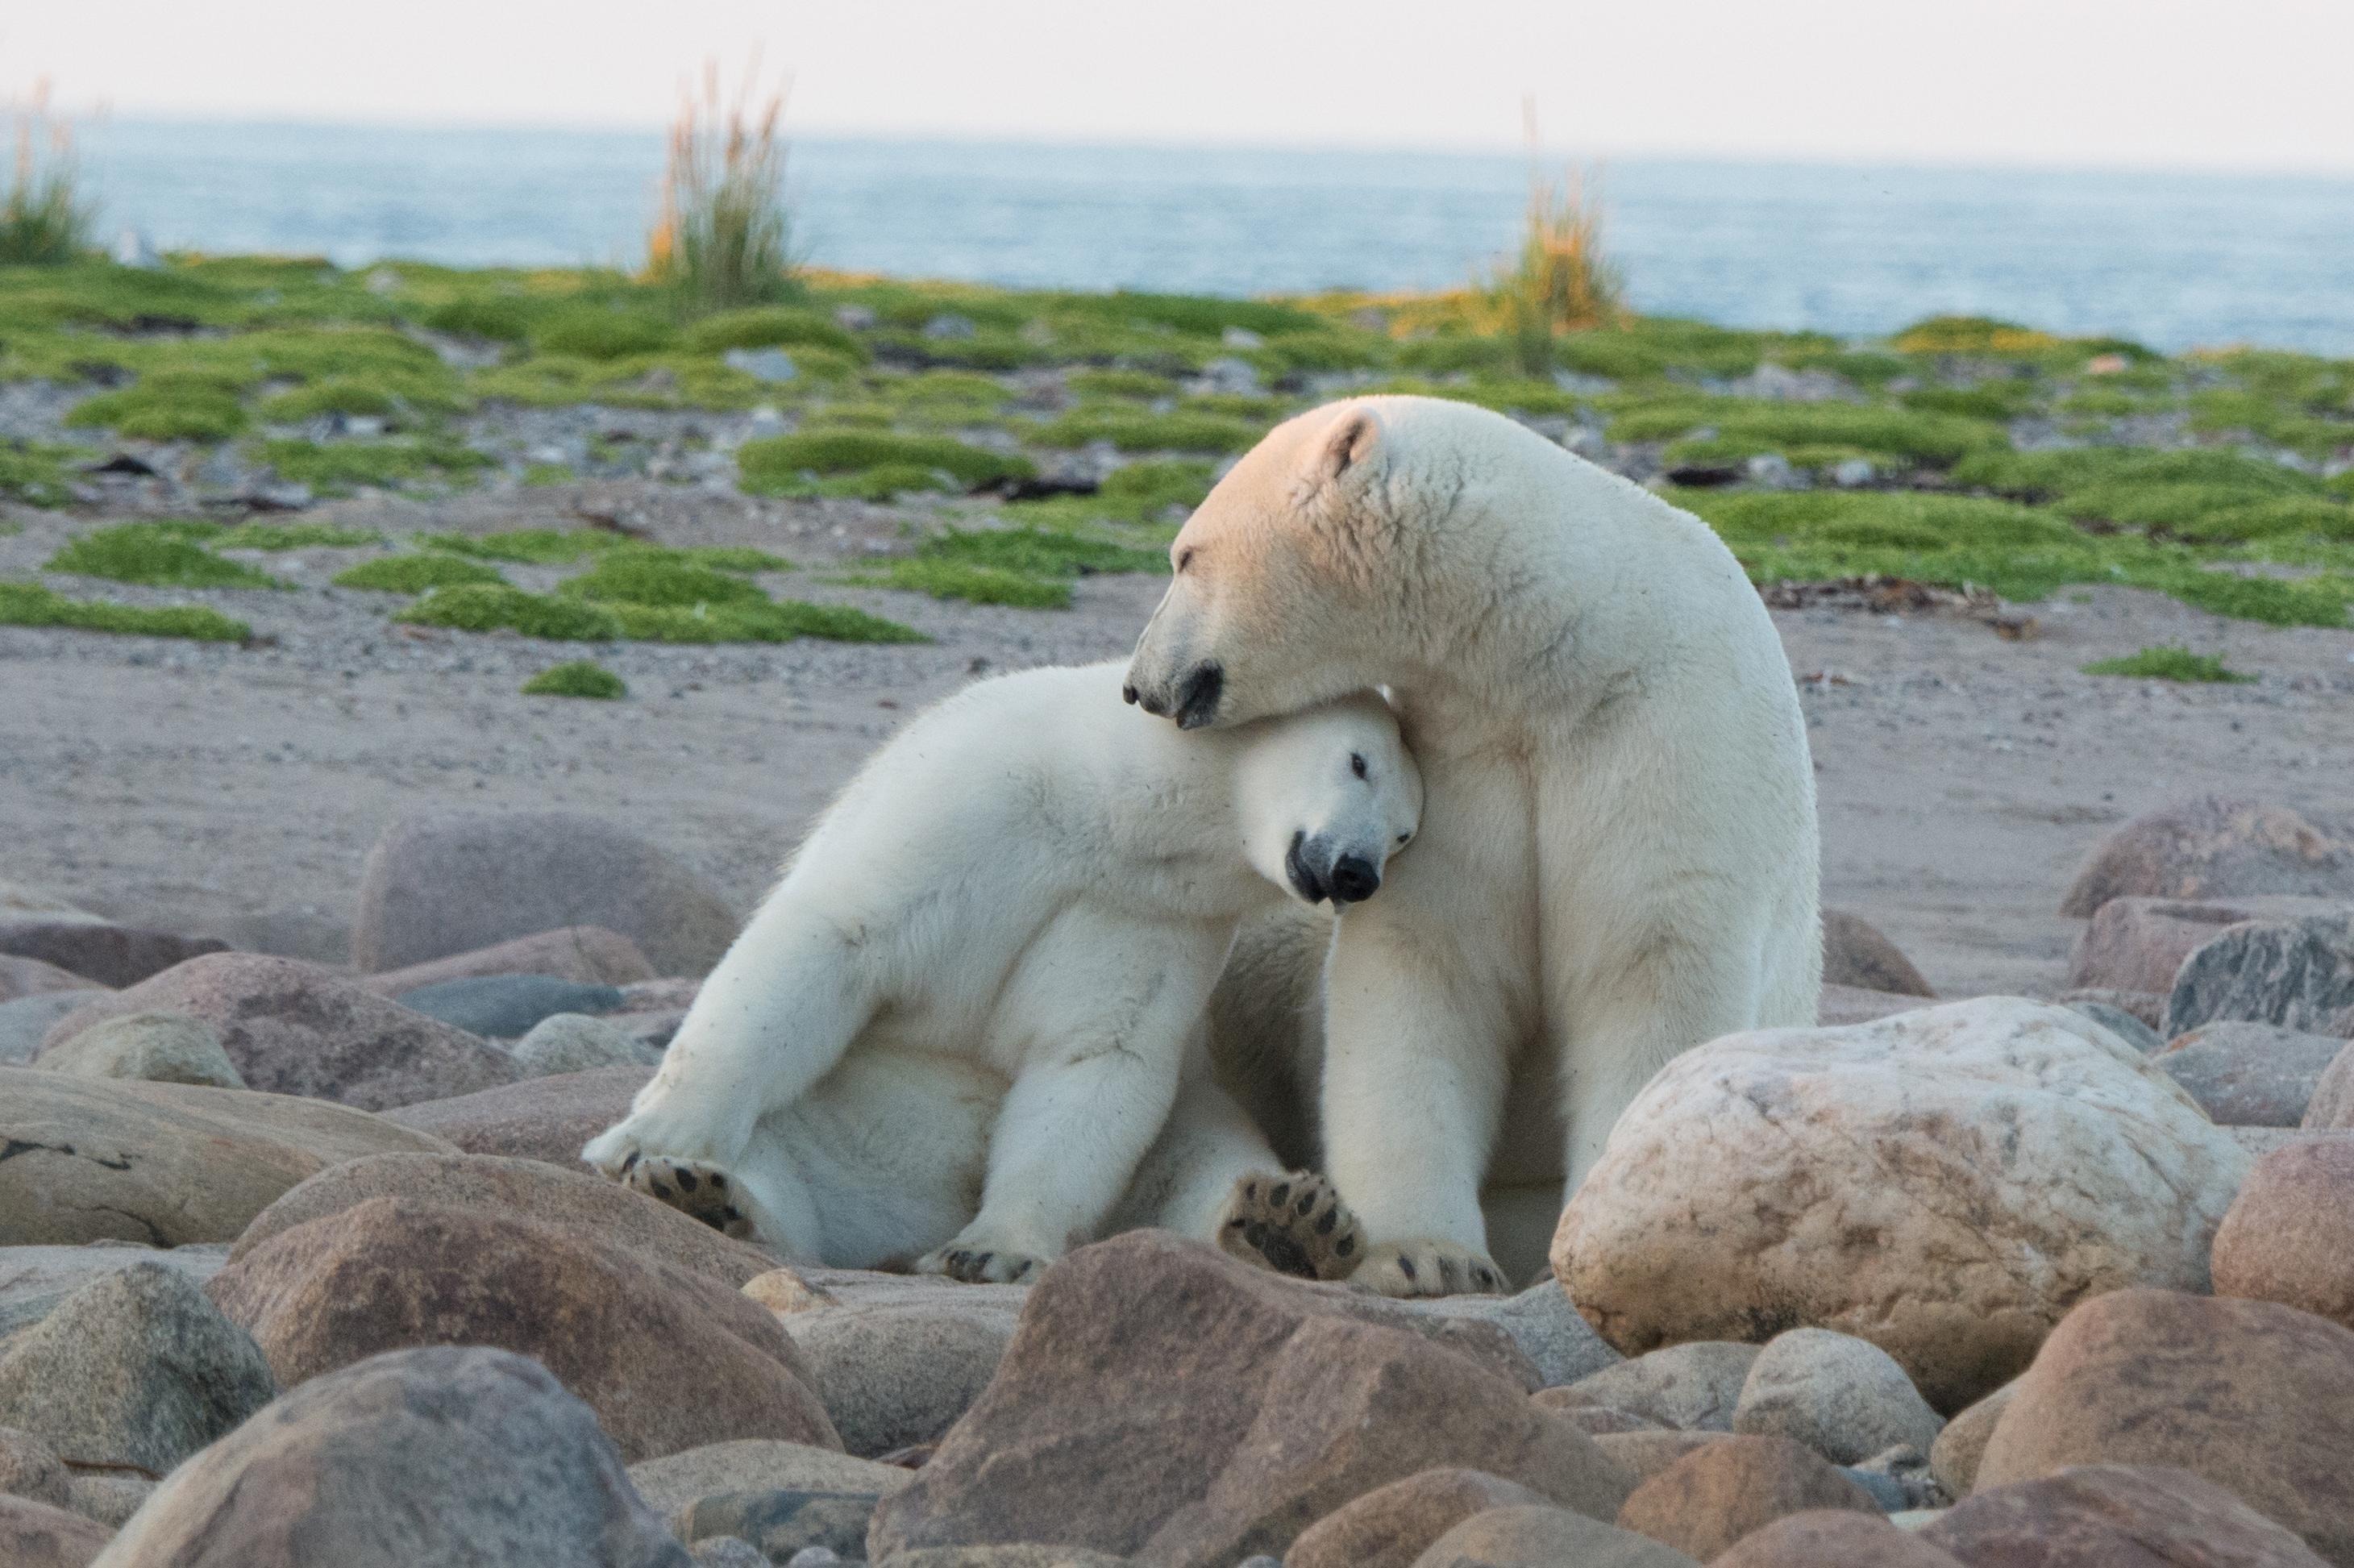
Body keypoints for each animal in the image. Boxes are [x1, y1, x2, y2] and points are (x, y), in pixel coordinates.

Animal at [582, 659, 1421, 1284]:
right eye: (1356, 762)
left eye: (1406, 833)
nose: (1355, 872)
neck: (1110, 804)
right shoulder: (976, 803)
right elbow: (833, 939)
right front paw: (650, 1141)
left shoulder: (1151, 916)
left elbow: (1096, 1054)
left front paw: (993, 1250)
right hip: (837, 1118)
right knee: (781, 1153)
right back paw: (700, 1190)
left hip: (1188, 1111)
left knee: (1201, 1156)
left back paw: (1291, 1222)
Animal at [1125, 394, 1821, 1296]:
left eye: (1185, 556)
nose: (1139, 684)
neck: (1562, 657)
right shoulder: (1464, 768)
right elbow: (1426, 974)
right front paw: (1428, 1257)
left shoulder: (1670, 748)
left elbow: (1648, 976)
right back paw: (1280, 1223)